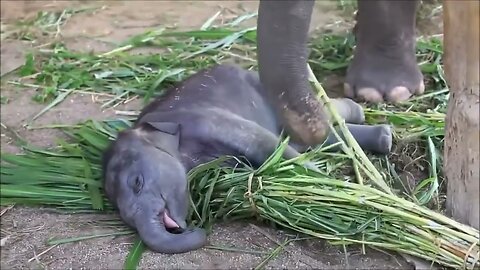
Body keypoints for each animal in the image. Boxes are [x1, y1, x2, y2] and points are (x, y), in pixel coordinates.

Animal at [102, 64, 394, 254]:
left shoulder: (205, 119)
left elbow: (266, 144)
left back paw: (361, 114)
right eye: (123, 216)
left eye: (137, 182)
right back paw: (383, 136)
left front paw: (323, 182)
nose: (195, 228)